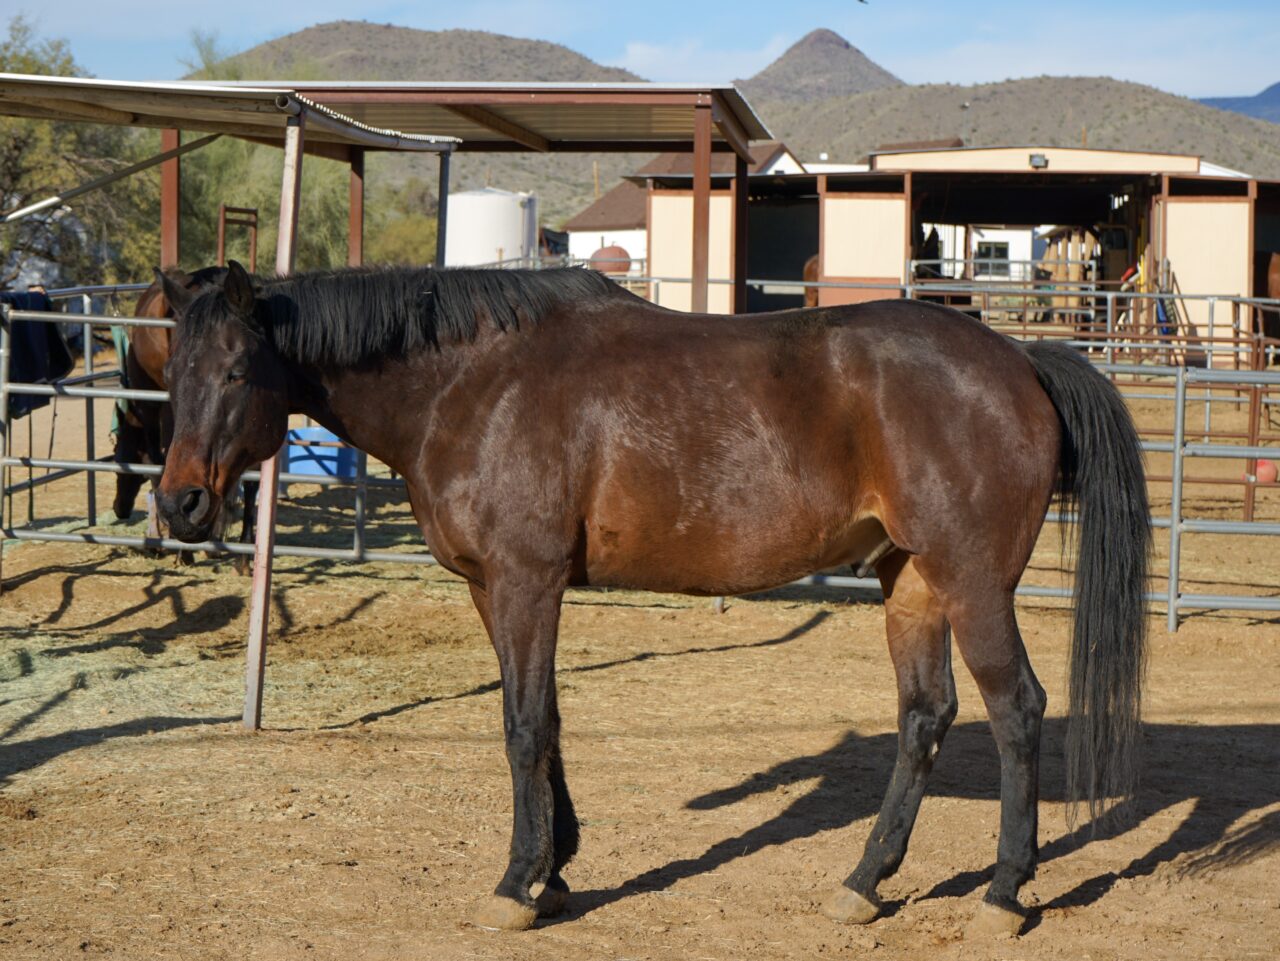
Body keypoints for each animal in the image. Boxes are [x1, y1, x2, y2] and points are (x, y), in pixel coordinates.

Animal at [149, 261, 1152, 941]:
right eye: (173, 371)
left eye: (237, 370)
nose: (180, 503)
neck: (473, 383)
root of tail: (1017, 359)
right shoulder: (494, 588)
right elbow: (546, 718)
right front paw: (555, 870)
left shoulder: (525, 580)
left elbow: (521, 724)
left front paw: (517, 883)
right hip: (909, 581)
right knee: (926, 716)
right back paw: (865, 881)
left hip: (972, 582)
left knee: (1016, 710)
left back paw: (1003, 892)